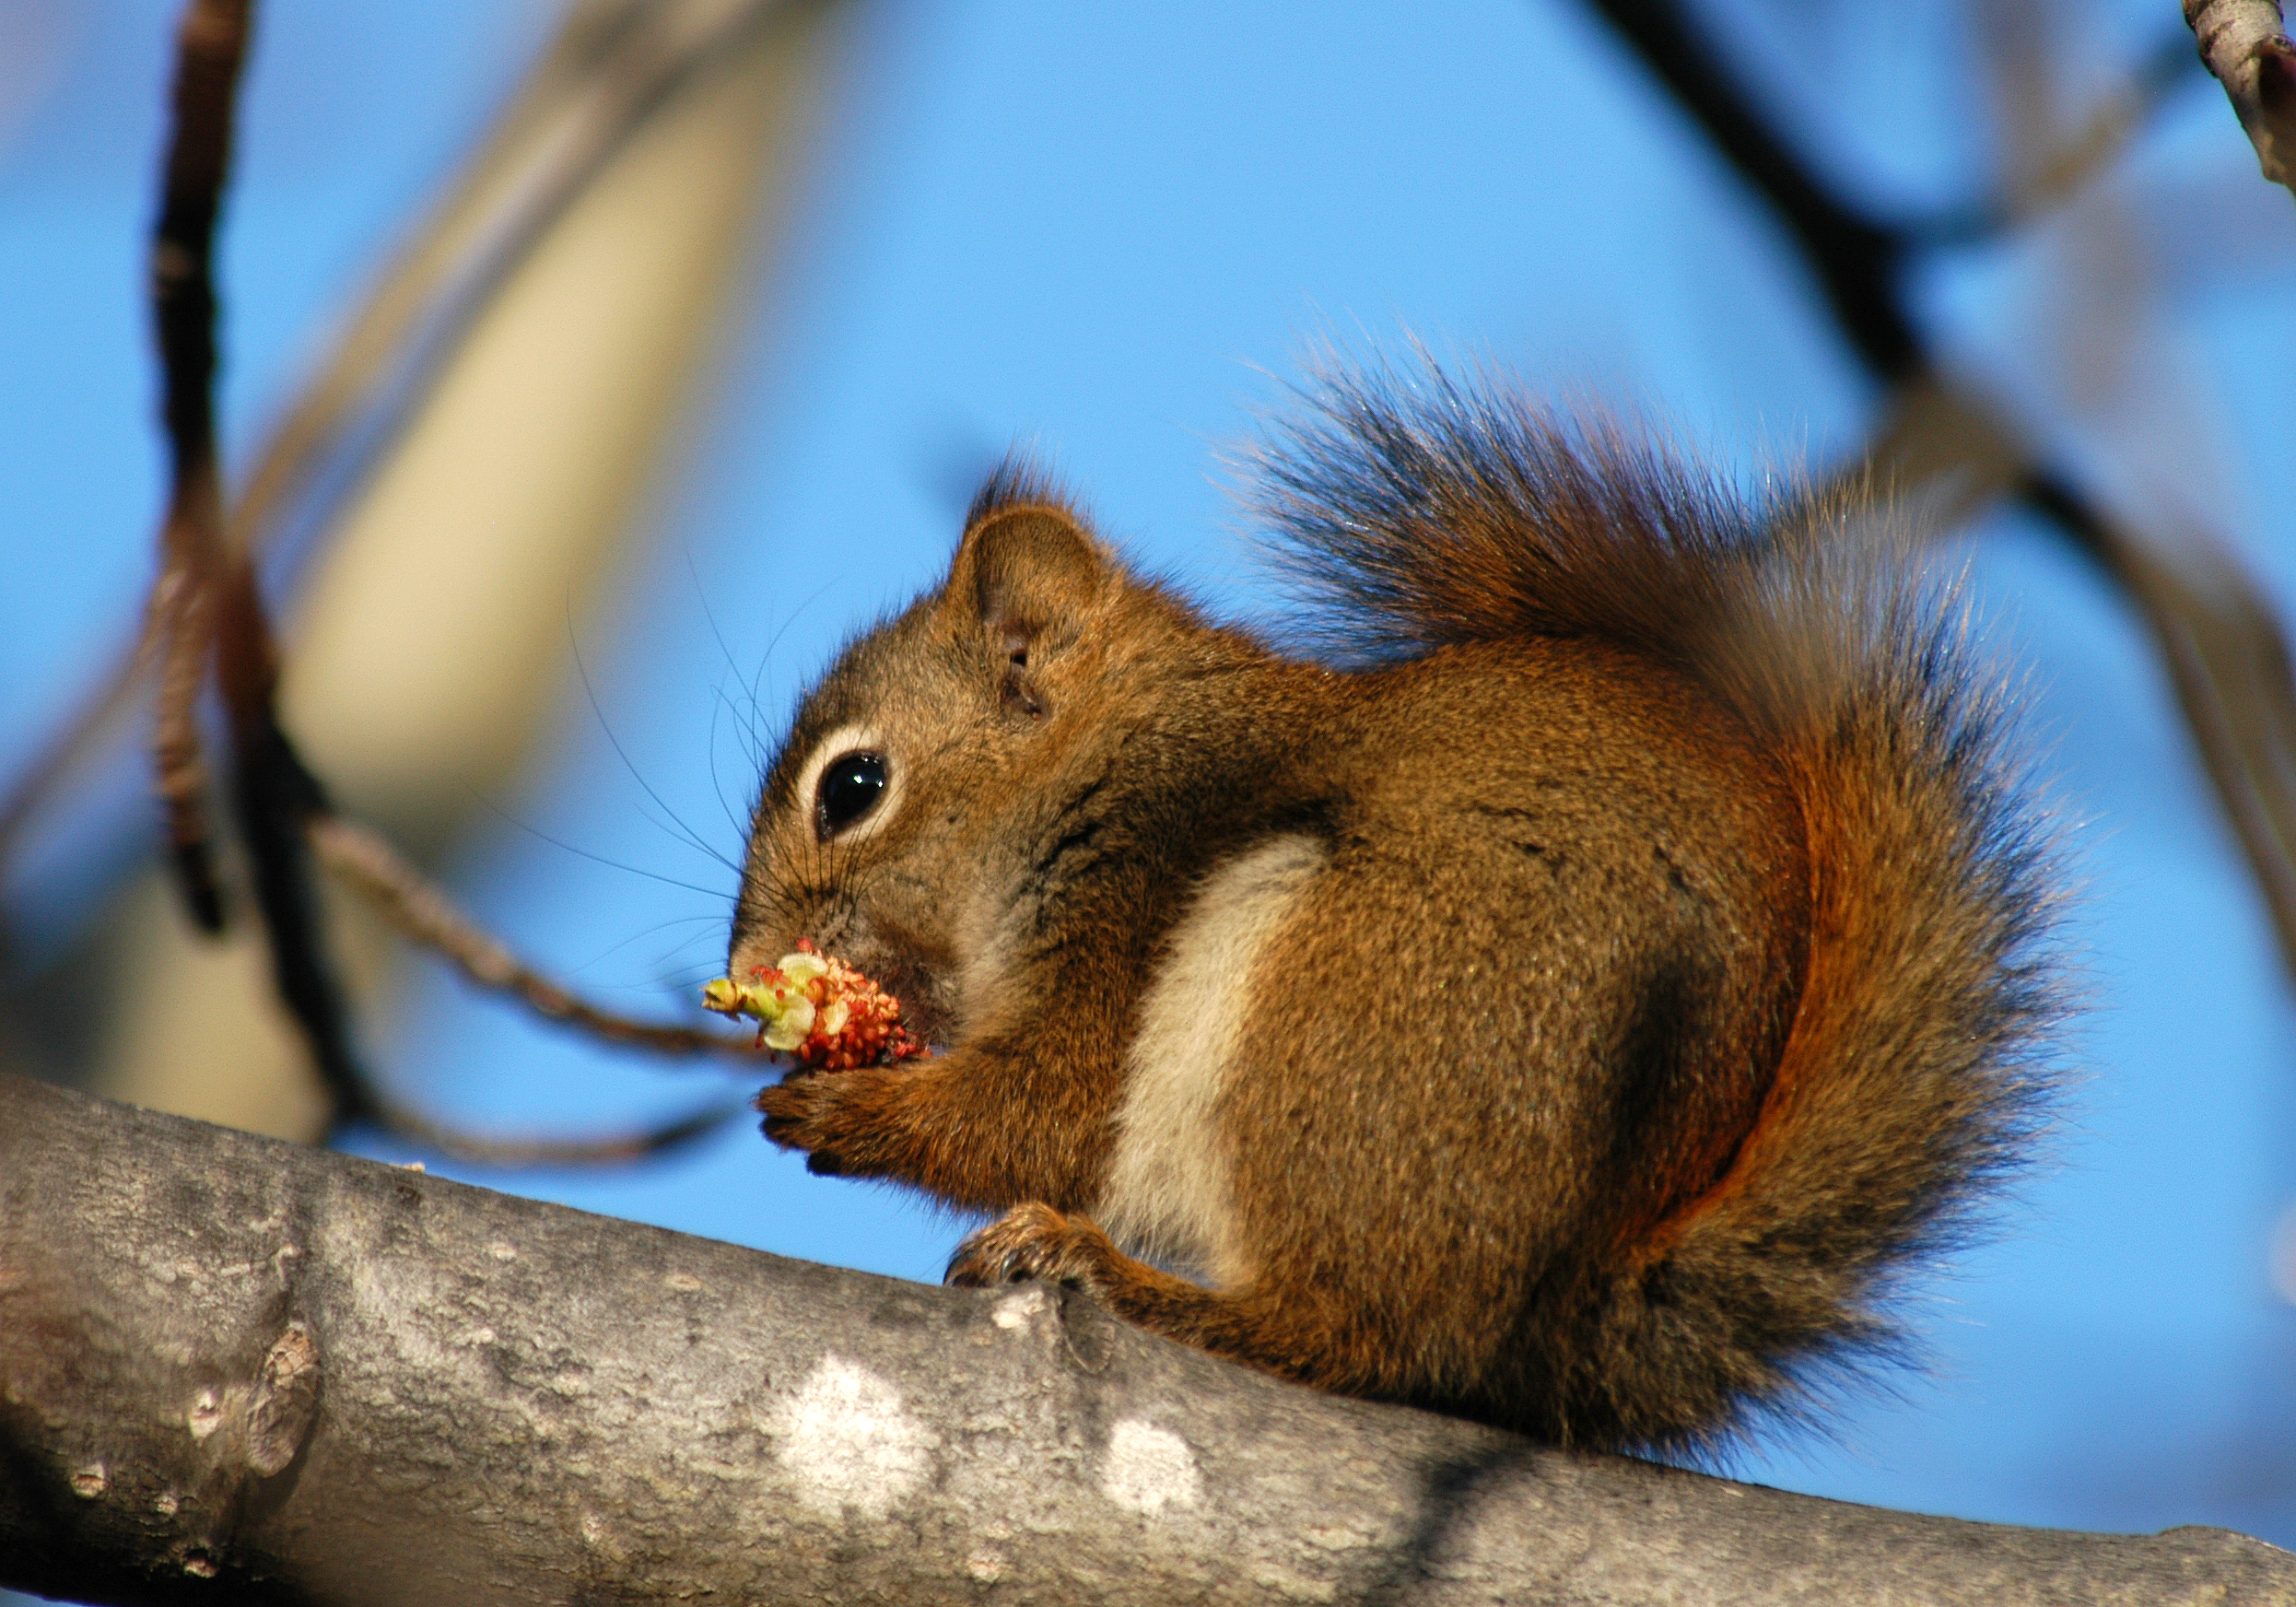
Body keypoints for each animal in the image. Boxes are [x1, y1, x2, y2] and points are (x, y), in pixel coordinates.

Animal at [731, 360, 2063, 1456]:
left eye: (853, 787)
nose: (748, 965)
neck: (1104, 761)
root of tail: (1561, 1318)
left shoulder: (1135, 893)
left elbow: (1045, 1111)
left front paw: (843, 1113)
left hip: (1343, 1009)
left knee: (1347, 1334)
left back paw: (1112, 1277)